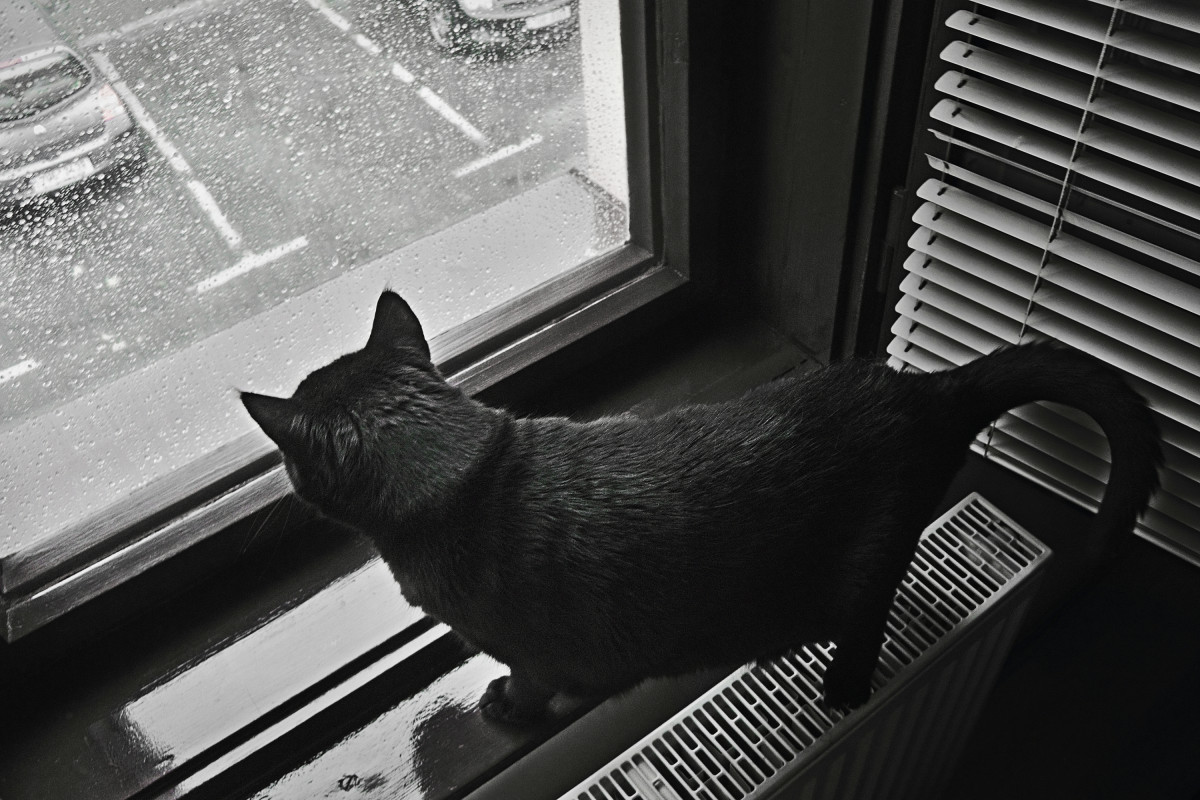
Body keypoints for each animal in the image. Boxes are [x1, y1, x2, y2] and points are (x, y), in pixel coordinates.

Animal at [241, 291, 1161, 724]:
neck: (465, 471)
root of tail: (920, 391)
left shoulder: (534, 654)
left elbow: (530, 686)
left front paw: (503, 707)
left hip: (871, 559)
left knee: (868, 618)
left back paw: (838, 686)